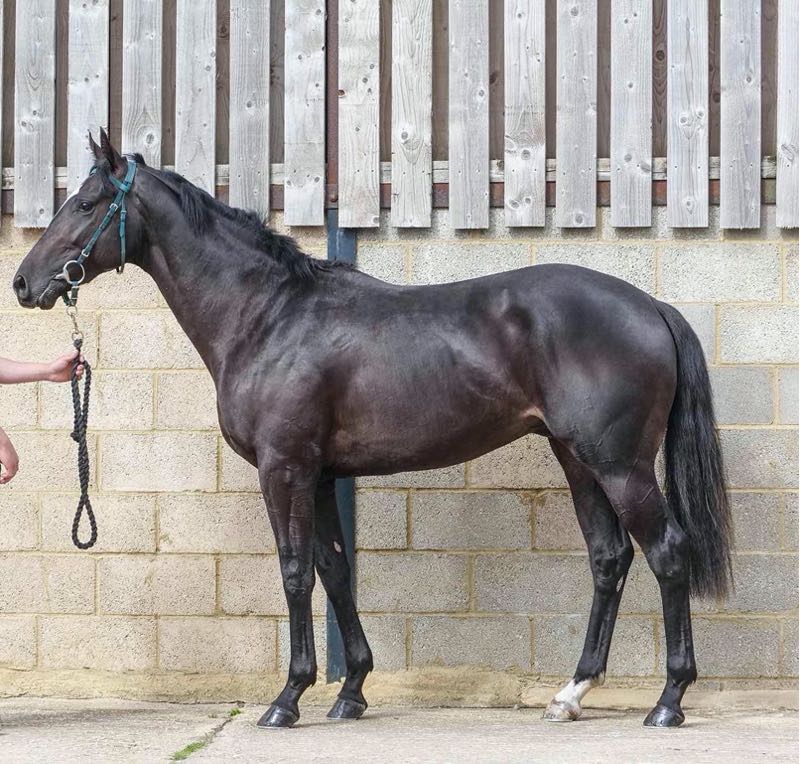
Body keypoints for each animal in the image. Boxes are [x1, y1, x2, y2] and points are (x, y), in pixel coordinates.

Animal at [13, 130, 732, 729]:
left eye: (85, 204)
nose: (23, 283)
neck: (267, 315)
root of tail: (652, 307)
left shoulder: (284, 468)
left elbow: (295, 572)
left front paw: (287, 699)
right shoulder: (321, 475)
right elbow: (335, 570)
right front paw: (351, 692)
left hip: (619, 465)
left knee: (668, 552)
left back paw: (668, 702)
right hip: (578, 459)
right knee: (609, 558)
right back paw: (571, 694)